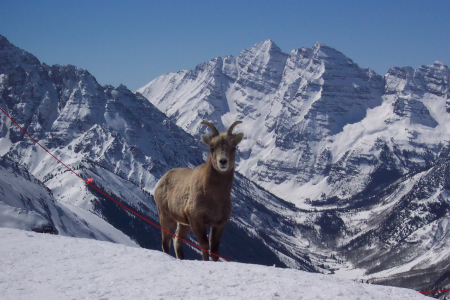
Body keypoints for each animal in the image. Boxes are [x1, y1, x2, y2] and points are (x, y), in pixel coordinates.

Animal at [156, 120, 244, 262]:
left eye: (233, 147)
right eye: (212, 147)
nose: (223, 162)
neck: (215, 198)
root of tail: (161, 180)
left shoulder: (219, 224)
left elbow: (214, 251)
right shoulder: (196, 220)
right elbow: (204, 245)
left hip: (184, 224)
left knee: (177, 240)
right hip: (167, 217)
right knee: (166, 240)